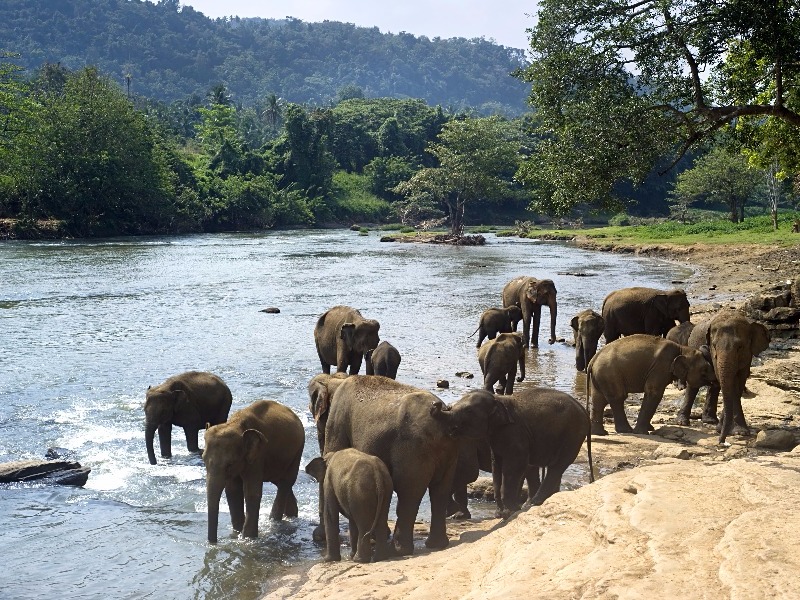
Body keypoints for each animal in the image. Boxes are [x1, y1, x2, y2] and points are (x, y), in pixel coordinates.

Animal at [205, 398, 304, 544]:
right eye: (203, 459)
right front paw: (237, 532)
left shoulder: (258, 454)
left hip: (298, 451)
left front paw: (247, 538)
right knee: (280, 481)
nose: (213, 543)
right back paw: (291, 515)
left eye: (229, 464)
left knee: (286, 482)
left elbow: (251, 492)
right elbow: (233, 491)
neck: (235, 424)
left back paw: (274, 521)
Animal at [316, 378, 504, 556]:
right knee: (439, 491)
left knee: (409, 492)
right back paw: (436, 544)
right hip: (447, 451)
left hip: (412, 451)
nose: (318, 538)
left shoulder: (337, 419)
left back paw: (398, 550)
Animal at [484, 386, 592, 516]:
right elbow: (498, 463)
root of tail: (584, 411)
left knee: (557, 465)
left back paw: (534, 502)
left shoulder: (514, 433)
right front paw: (502, 513)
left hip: (573, 434)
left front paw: (509, 512)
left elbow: (516, 465)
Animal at [584, 332, 716, 436]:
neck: (682, 349)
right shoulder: (660, 367)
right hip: (610, 374)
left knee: (599, 400)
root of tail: (593, 359)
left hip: (601, 376)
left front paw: (650, 429)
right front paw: (643, 432)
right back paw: (626, 431)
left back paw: (600, 433)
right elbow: (654, 393)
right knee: (618, 397)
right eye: (704, 370)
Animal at [676, 310, 768, 440]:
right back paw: (682, 422)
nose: (721, 440)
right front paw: (735, 431)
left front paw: (736, 431)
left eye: (740, 347)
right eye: (713, 346)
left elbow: (739, 381)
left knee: (715, 386)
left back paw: (710, 421)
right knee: (693, 386)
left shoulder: (747, 356)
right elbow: (729, 383)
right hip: (692, 344)